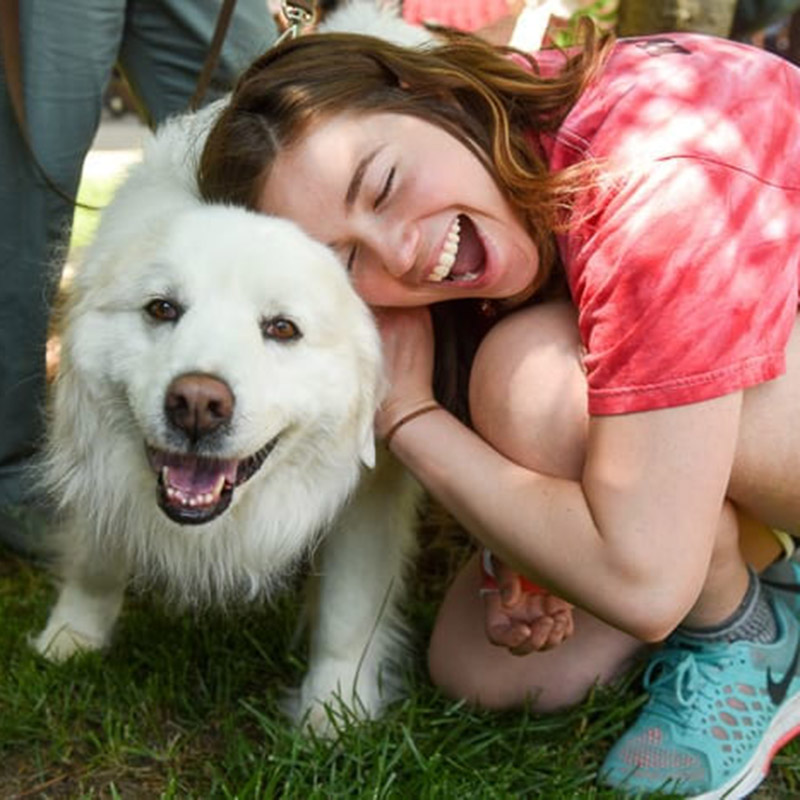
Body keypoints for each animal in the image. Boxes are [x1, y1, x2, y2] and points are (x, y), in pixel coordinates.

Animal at [34, 1, 428, 736]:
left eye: (282, 329)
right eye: (162, 308)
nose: (196, 404)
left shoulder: (371, 484)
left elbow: (350, 608)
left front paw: (333, 711)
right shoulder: (101, 460)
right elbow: (97, 556)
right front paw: (70, 639)